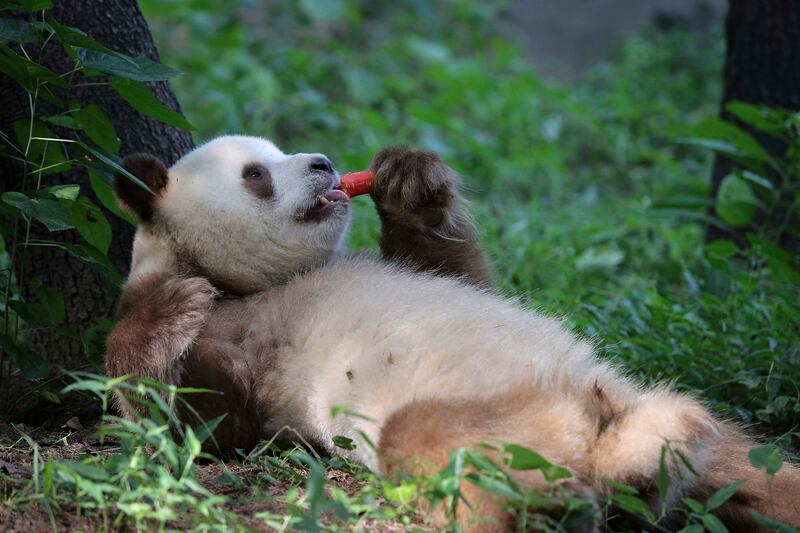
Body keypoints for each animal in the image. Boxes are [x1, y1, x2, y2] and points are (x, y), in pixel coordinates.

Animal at [104, 136, 800, 531]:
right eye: (256, 173)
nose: (324, 163)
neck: (255, 282)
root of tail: (598, 435)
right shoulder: (240, 350)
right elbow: (193, 423)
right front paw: (173, 309)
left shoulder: (425, 269)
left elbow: (454, 268)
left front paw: (408, 179)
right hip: (462, 418)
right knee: (437, 448)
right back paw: (554, 506)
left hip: (663, 416)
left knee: (760, 474)